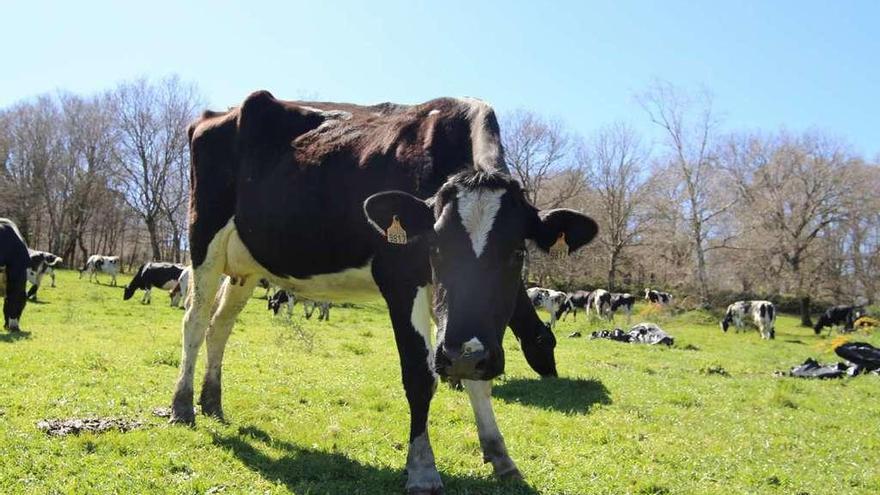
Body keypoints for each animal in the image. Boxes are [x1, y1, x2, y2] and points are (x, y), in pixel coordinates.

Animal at [169, 92, 600, 492]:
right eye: (436, 248)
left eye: (517, 252)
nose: (553, 376)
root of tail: (218, 114)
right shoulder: (400, 277)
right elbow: (421, 375)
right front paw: (422, 470)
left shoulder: (464, 325)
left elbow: (476, 378)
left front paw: (501, 457)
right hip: (204, 239)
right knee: (194, 323)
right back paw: (182, 406)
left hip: (245, 266)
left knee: (220, 326)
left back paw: (212, 401)